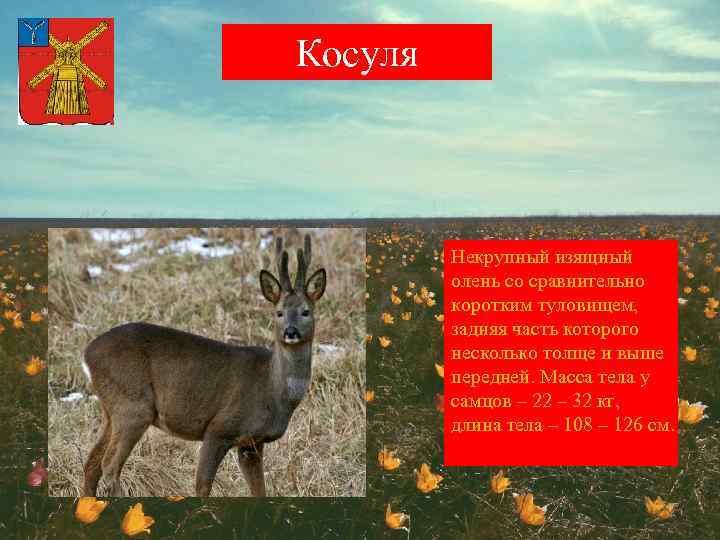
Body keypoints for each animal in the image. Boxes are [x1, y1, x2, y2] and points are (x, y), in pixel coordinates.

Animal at [81, 234, 326, 497]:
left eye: (306, 311)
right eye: (279, 312)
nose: (291, 332)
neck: (273, 389)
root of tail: (87, 354)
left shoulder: (251, 443)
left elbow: (259, 491)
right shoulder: (220, 427)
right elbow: (202, 484)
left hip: (111, 410)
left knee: (91, 463)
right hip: (133, 406)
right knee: (109, 465)